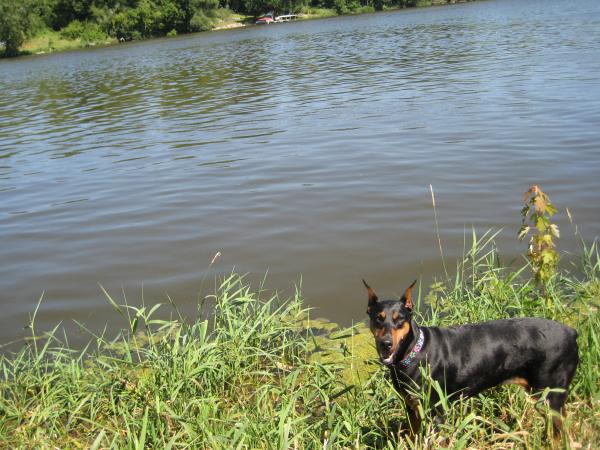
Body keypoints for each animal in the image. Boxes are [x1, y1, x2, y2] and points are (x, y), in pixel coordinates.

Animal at [364, 278, 580, 436]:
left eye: (399, 320)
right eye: (378, 319)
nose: (386, 344)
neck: (413, 353)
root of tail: (572, 332)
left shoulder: (437, 412)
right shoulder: (411, 407)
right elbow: (413, 435)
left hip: (550, 396)